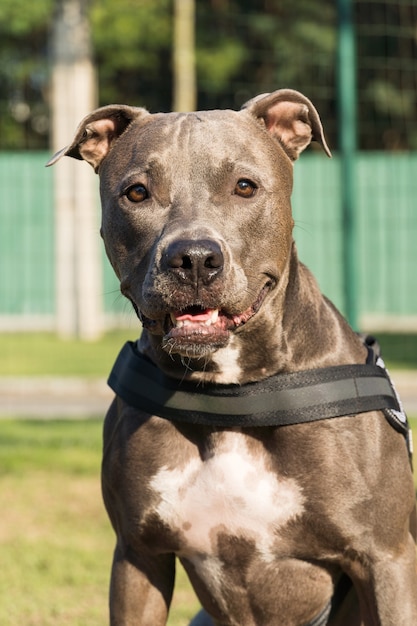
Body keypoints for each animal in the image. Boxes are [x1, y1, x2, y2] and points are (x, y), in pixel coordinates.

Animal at [47, 89, 414, 624]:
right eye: (136, 193)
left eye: (244, 186)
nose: (194, 258)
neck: (230, 394)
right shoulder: (139, 554)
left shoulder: (386, 559)